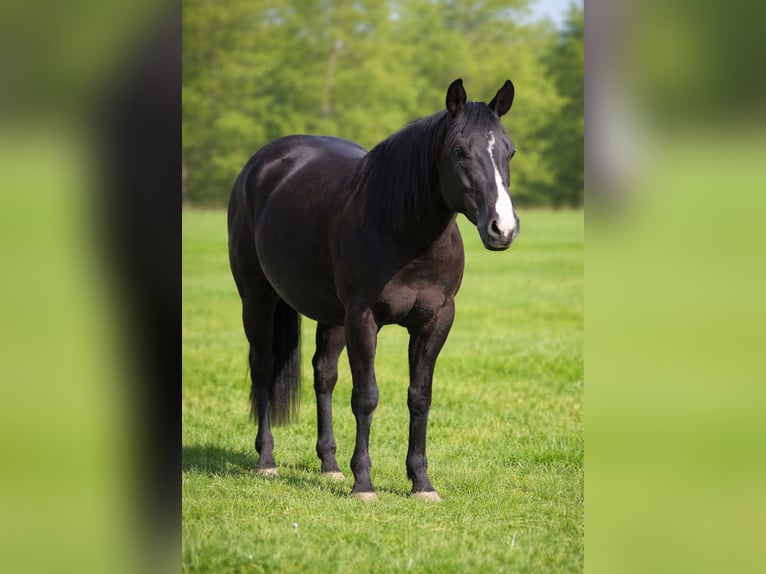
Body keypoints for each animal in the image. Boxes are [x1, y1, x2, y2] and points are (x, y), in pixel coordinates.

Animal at [228, 78, 519, 501]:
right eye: (459, 151)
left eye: (509, 150)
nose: (503, 228)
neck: (404, 231)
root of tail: (263, 163)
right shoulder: (363, 319)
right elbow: (366, 397)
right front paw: (363, 484)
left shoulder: (435, 320)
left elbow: (419, 397)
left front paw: (421, 483)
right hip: (257, 297)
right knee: (264, 367)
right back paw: (267, 461)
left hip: (331, 316)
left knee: (323, 375)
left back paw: (330, 465)